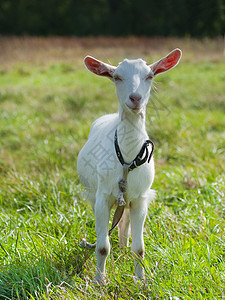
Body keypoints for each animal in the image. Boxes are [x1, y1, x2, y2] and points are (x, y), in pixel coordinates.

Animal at [77, 49, 181, 284]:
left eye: (149, 75)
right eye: (117, 77)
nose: (135, 98)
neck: (126, 158)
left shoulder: (141, 199)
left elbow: (139, 248)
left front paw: (140, 281)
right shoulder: (103, 197)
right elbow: (102, 246)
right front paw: (99, 281)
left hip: (128, 199)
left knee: (124, 223)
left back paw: (123, 251)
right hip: (93, 194)